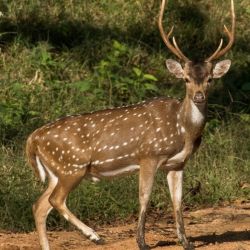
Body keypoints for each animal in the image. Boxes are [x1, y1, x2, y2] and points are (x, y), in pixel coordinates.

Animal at [26, 0, 235, 249]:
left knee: (39, 205)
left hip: (57, 171)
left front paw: (186, 242)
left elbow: (177, 201)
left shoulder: (177, 163)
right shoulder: (148, 155)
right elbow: (144, 197)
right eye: (185, 79)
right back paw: (95, 235)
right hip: (72, 166)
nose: (199, 96)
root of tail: (33, 138)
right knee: (55, 199)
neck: (182, 129)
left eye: (210, 79)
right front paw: (141, 242)